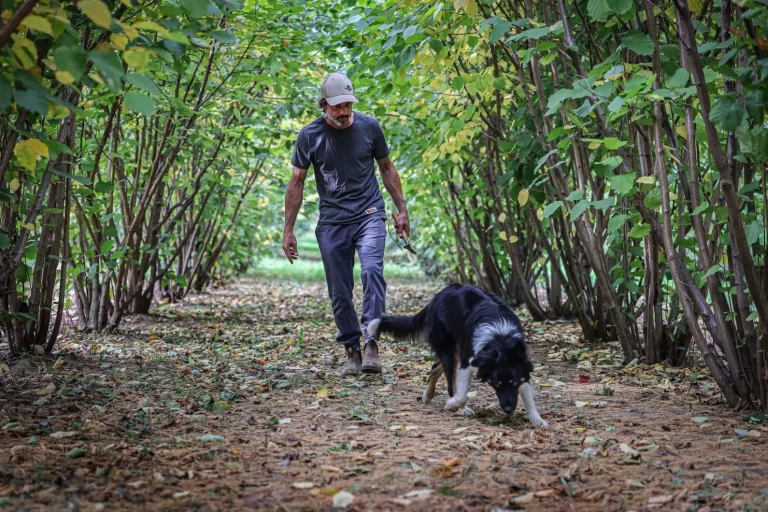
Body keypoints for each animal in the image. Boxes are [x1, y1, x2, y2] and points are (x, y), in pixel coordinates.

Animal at [366, 282, 544, 426]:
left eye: (514, 383)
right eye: (496, 384)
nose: (508, 410)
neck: (500, 339)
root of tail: (437, 296)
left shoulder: (521, 364)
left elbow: (527, 396)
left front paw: (536, 419)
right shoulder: (467, 362)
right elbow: (460, 393)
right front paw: (454, 404)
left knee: (435, 367)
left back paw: (427, 395)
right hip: (449, 351)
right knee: (450, 380)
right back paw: (454, 405)